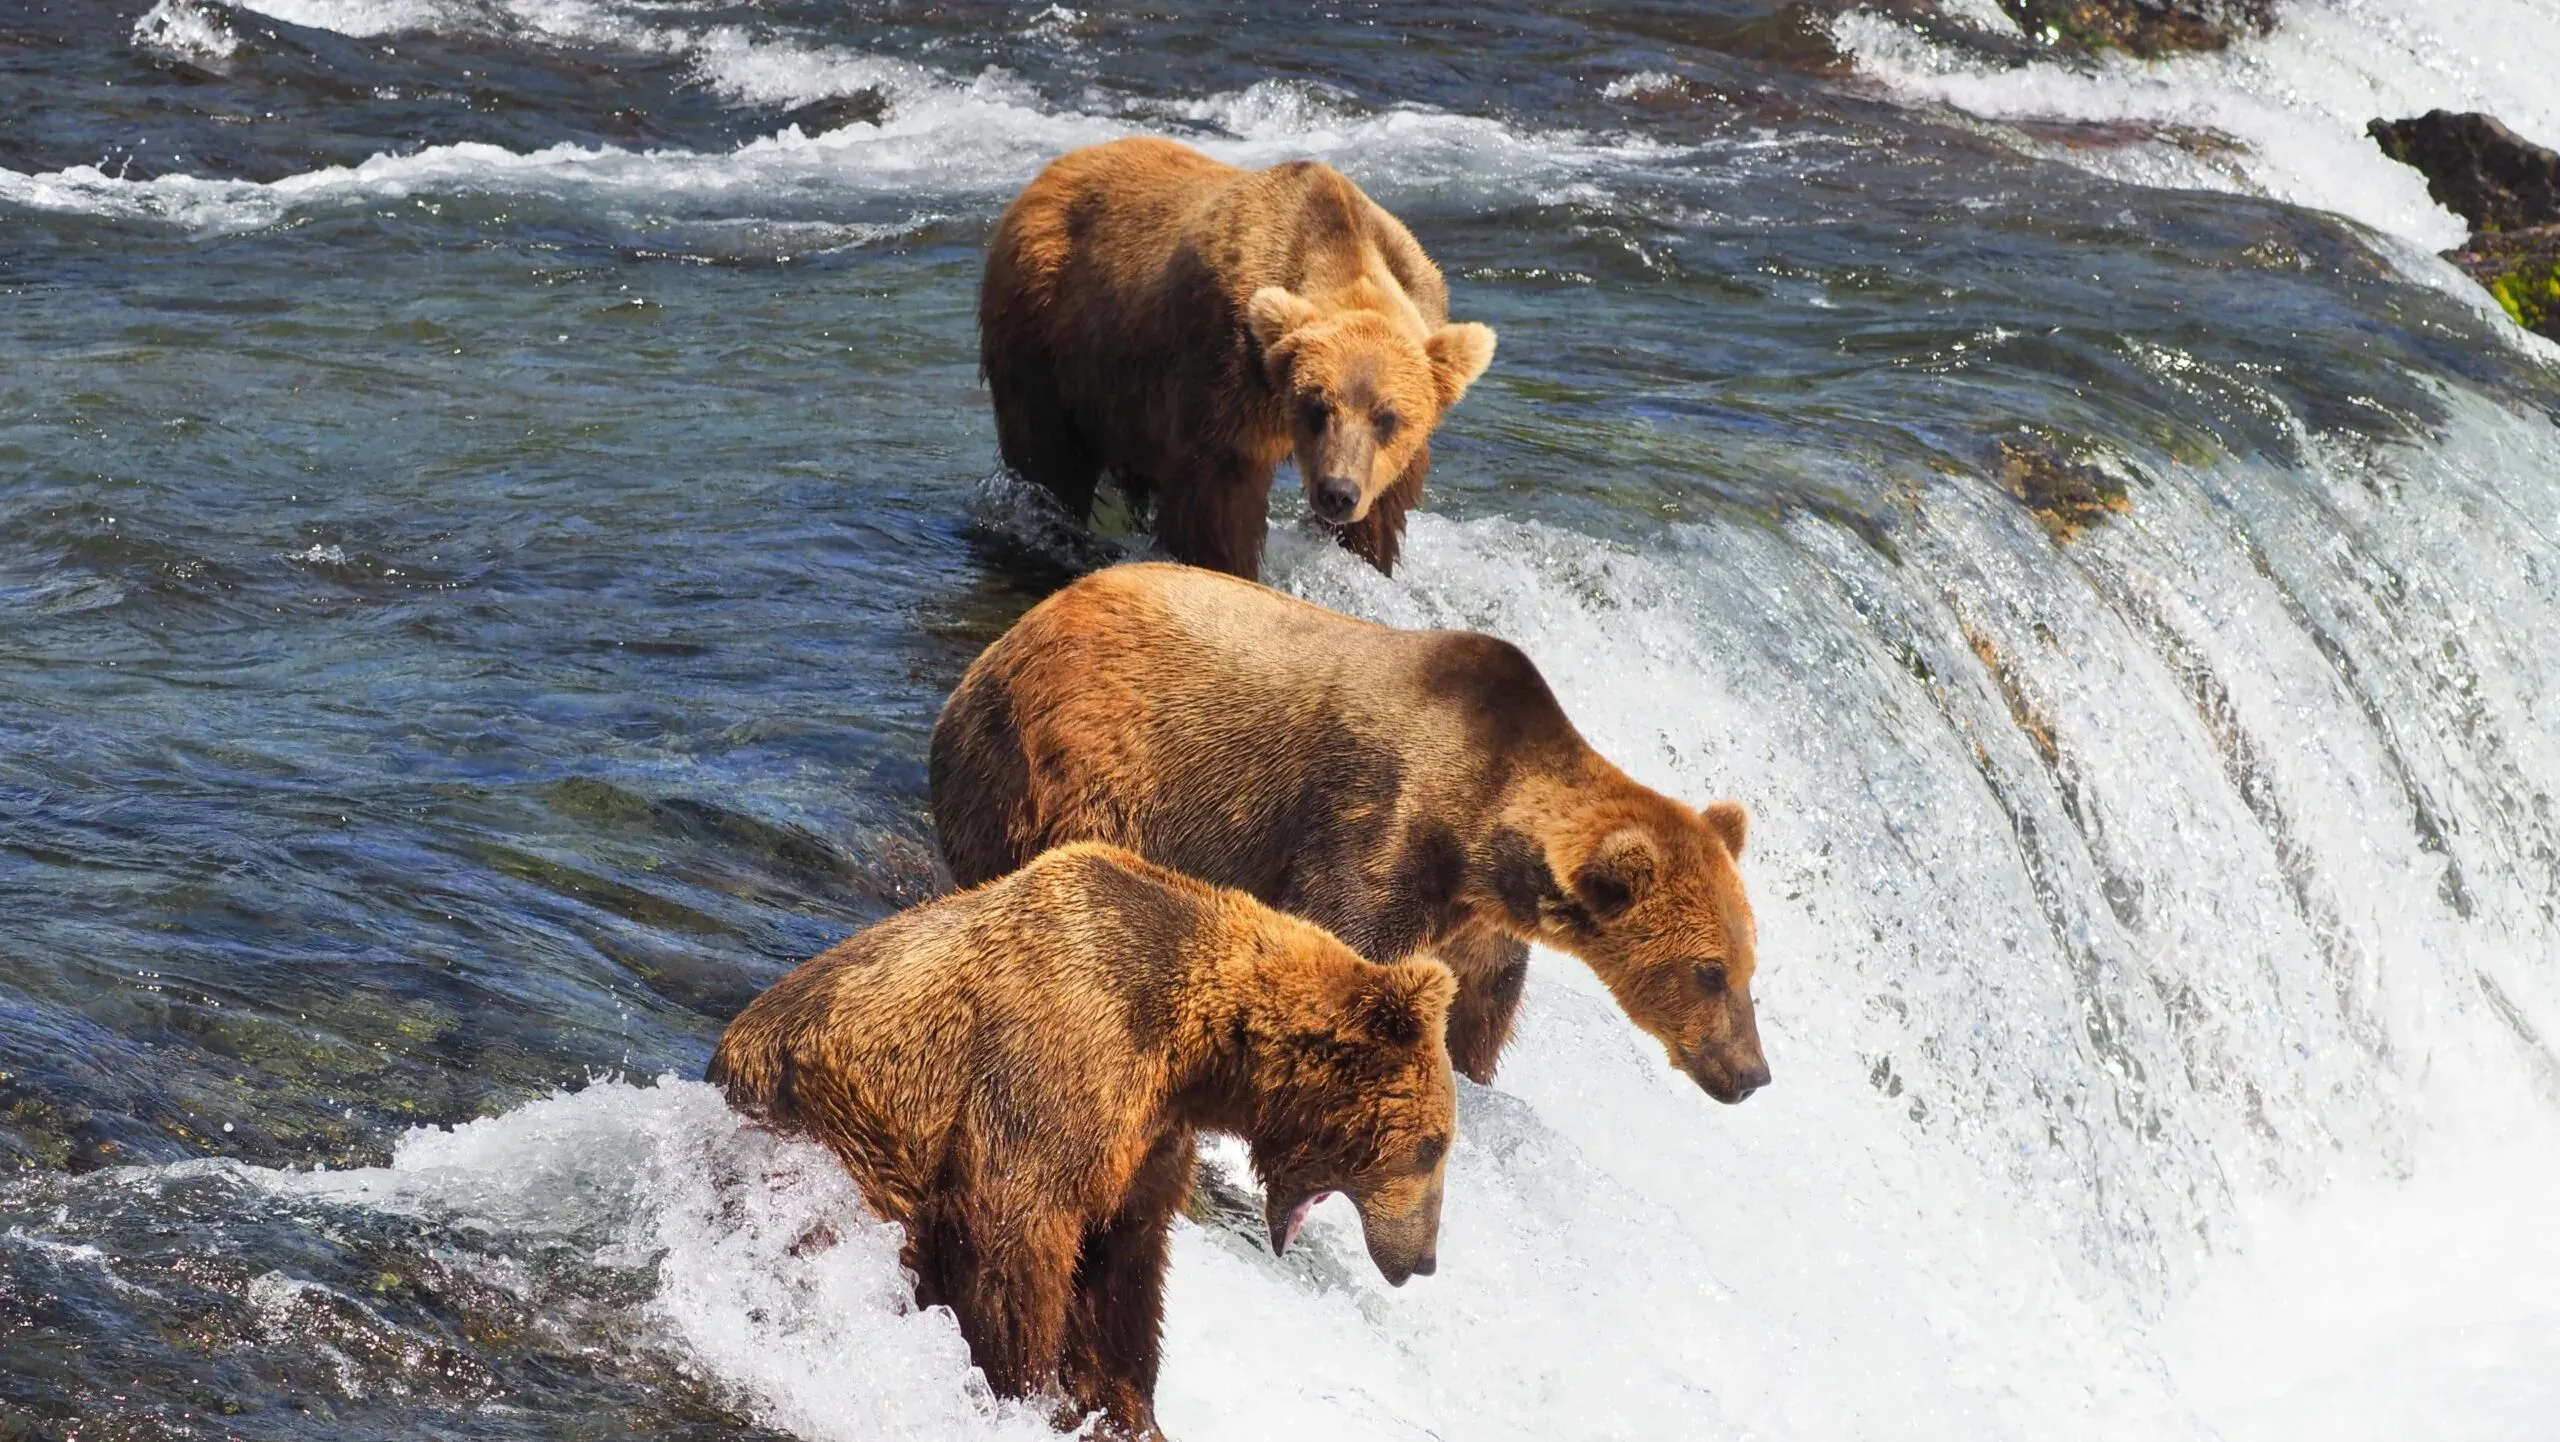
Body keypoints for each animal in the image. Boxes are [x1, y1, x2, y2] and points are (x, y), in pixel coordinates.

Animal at [707, 840, 1458, 1441]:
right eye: (1435, 1146)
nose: (1423, 1261)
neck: (1197, 1046)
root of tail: (723, 1052)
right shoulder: (1050, 1069)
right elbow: (1014, 1236)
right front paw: (1031, 1395)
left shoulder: (1145, 1142)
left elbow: (1123, 1274)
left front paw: (1126, 1408)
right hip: (841, 1132)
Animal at [929, 563, 1771, 1103]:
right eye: (1709, 971)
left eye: (1748, 965)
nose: (1752, 1074)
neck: (1479, 834)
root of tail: (990, 657)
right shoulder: (1376, 831)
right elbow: (1345, 942)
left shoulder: (1481, 928)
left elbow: (1480, 1014)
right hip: (1083, 768)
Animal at [978, 136, 1497, 581]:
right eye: (1316, 406)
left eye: (1388, 418)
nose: (1337, 493)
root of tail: (1048, 173)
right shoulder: (1224, 373)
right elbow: (1217, 502)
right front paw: (1230, 569)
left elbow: (1384, 510)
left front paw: (1367, 555)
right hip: (1047, 327)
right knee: (1048, 452)